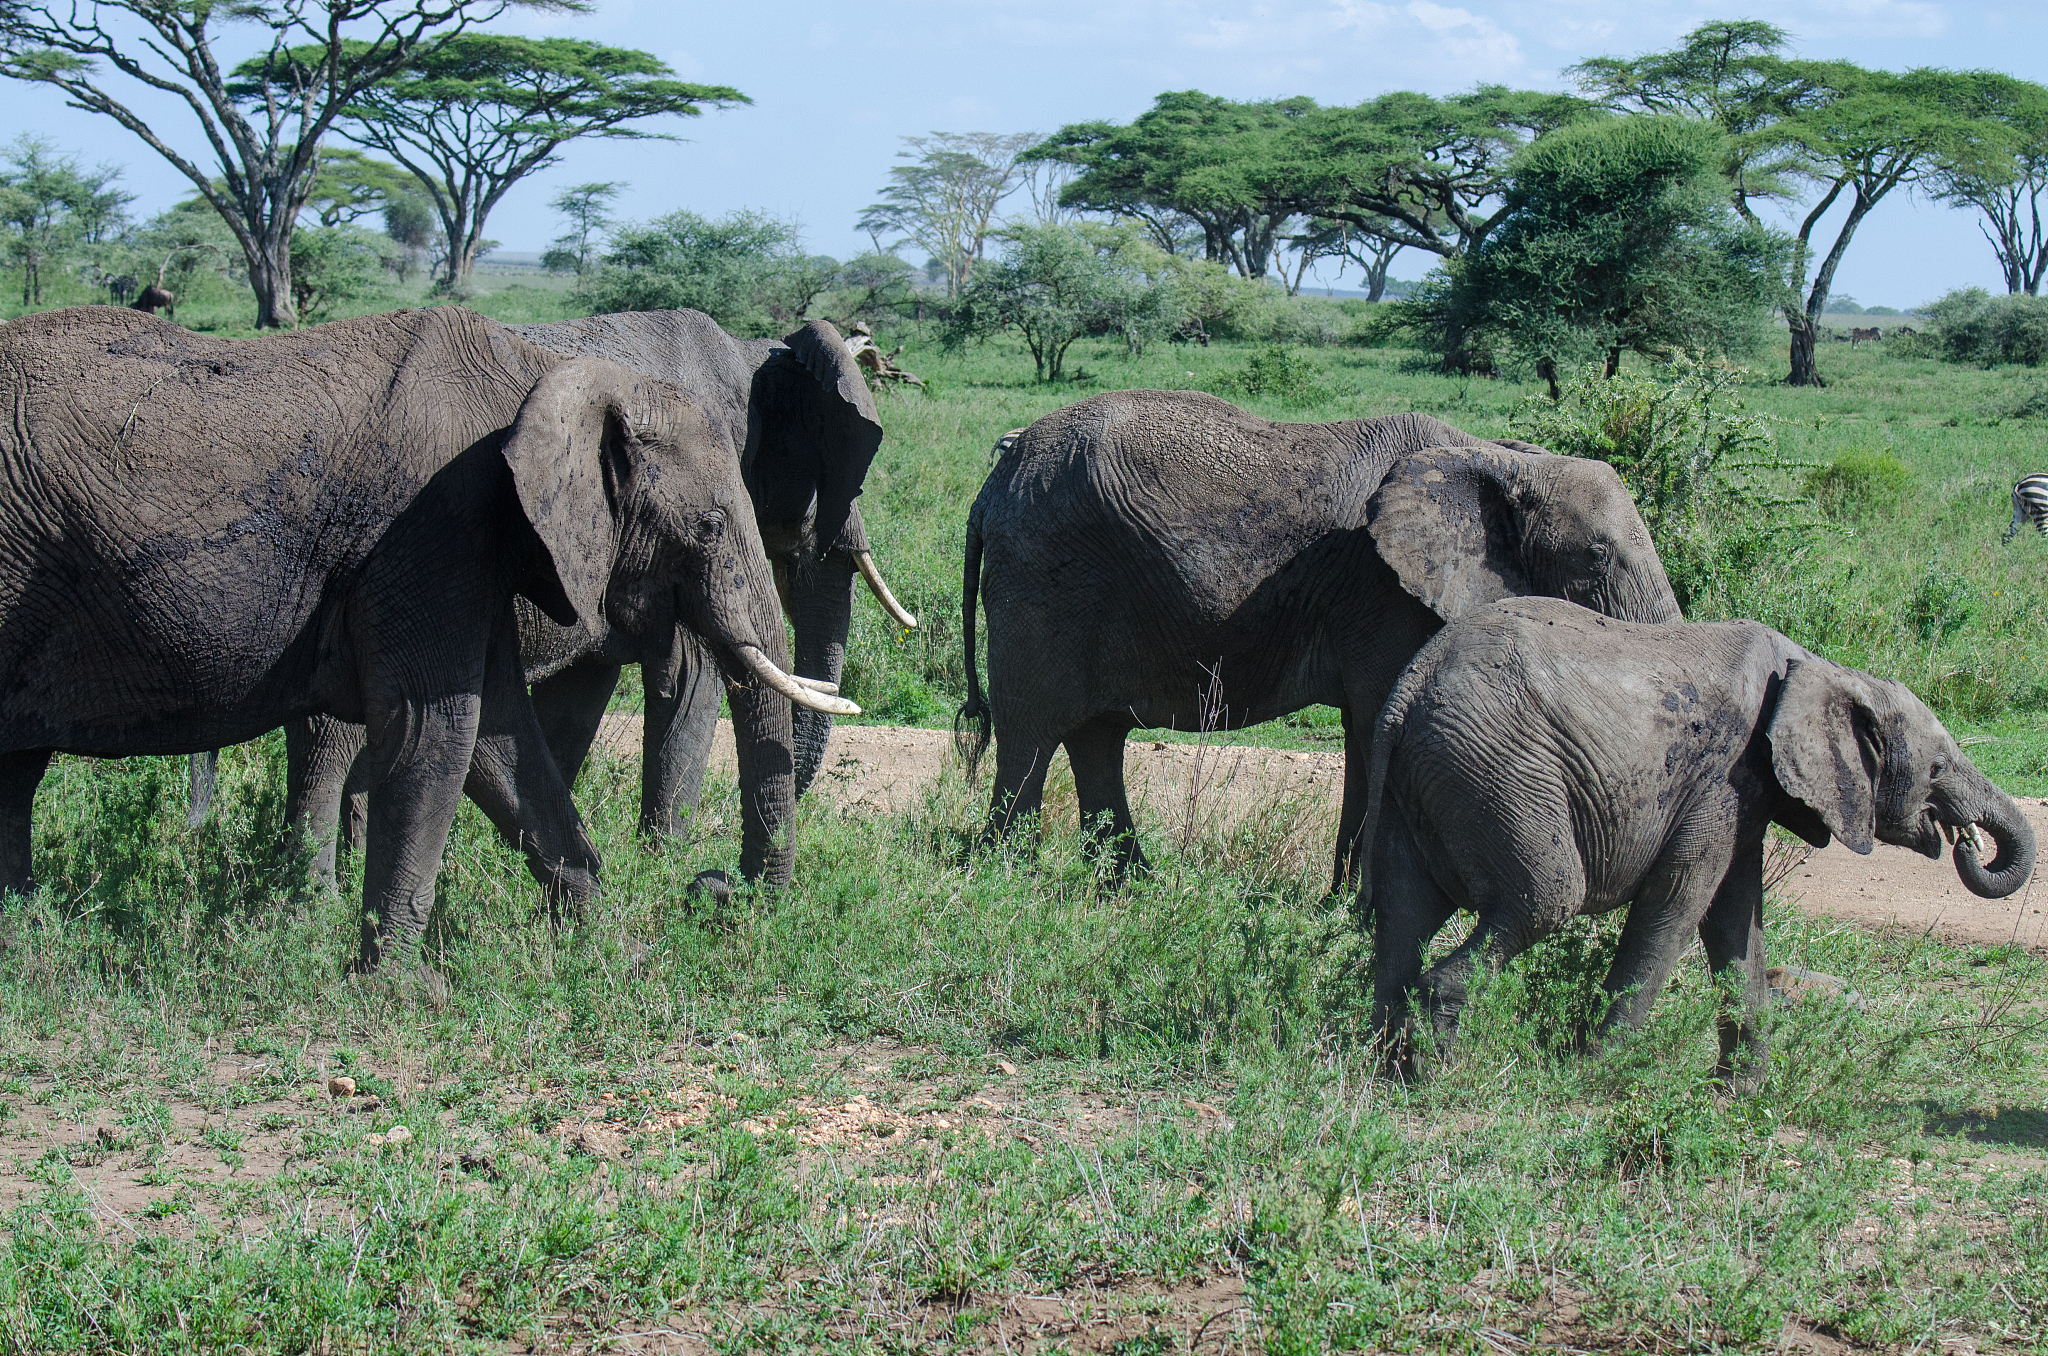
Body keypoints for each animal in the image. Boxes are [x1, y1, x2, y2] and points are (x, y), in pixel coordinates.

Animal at [0, 305, 849, 976]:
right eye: (707, 526)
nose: (716, 891)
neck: (544, 375)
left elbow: (500, 740)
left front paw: (615, 949)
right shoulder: (433, 525)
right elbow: (436, 725)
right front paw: (401, 990)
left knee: (15, 773)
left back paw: (26, 939)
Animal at [955, 390, 1680, 884]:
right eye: (1598, 557)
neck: (1498, 458)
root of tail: (993, 483)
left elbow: (1369, 729)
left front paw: (1341, 913)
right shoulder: (1383, 590)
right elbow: (1379, 721)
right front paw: (1357, 923)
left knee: (1096, 736)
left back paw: (1130, 887)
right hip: (1044, 580)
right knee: (1031, 733)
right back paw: (1010, 880)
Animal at [1360, 597, 2035, 1081]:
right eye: (1938, 767)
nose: (1967, 840)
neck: (1821, 669)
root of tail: (1408, 688)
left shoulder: (1745, 795)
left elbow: (1736, 916)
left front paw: (1744, 1090)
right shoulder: (1724, 778)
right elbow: (1680, 902)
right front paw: (1594, 1075)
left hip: (1428, 778)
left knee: (1403, 915)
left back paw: (1388, 1070)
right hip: (1500, 772)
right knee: (1545, 899)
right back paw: (1441, 1075)